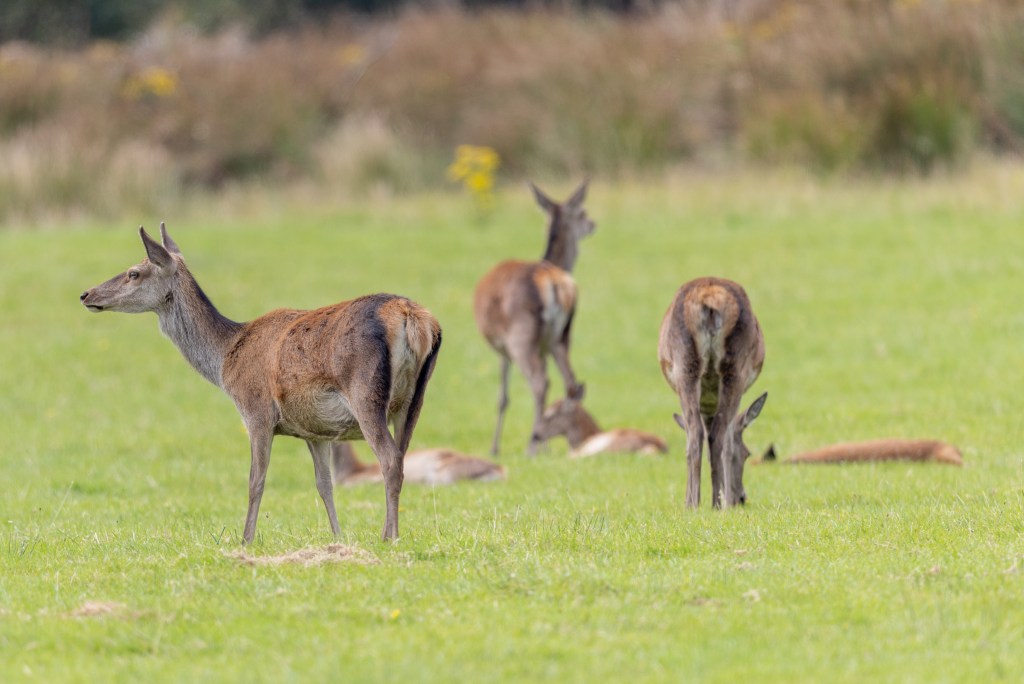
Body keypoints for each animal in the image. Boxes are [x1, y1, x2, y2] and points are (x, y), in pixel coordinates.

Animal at [79, 224, 441, 543]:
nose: (86, 294)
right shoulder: (315, 430)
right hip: (414, 399)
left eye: (134, 272)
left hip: (365, 392)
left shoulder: (255, 411)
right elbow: (324, 484)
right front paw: (338, 538)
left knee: (389, 459)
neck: (226, 359)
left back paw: (389, 537)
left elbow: (256, 479)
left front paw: (246, 539)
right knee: (401, 456)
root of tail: (413, 317)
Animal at [474, 180, 595, 456]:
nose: (593, 223)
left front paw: (494, 448)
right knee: (570, 382)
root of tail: (551, 282)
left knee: (540, 382)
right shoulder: (545, 345)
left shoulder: (502, 348)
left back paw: (532, 445)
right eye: (582, 212)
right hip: (562, 336)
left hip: (520, 336)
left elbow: (503, 397)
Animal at [658, 277, 767, 509]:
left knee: (697, 434)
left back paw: (694, 504)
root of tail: (709, 300)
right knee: (716, 435)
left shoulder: (707, 404)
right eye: (747, 453)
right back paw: (715, 503)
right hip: (733, 370)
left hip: (687, 366)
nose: (741, 498)